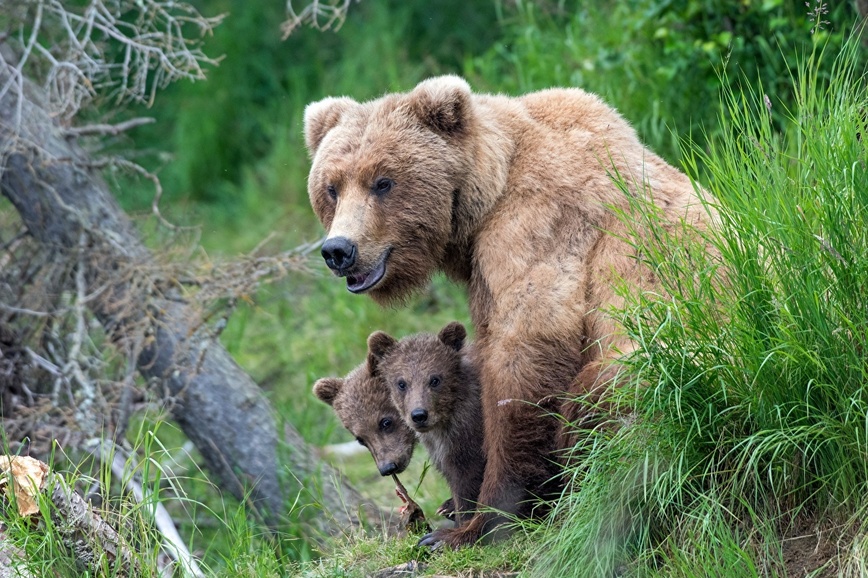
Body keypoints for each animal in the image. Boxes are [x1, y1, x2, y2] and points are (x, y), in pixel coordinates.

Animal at [304, 75, 704, 544]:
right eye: (332, 187)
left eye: (382, 182)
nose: (338, 250)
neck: (488, 192)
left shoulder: (532, 225)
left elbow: (524, 350)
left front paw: (478, 520)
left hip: (672, 376)